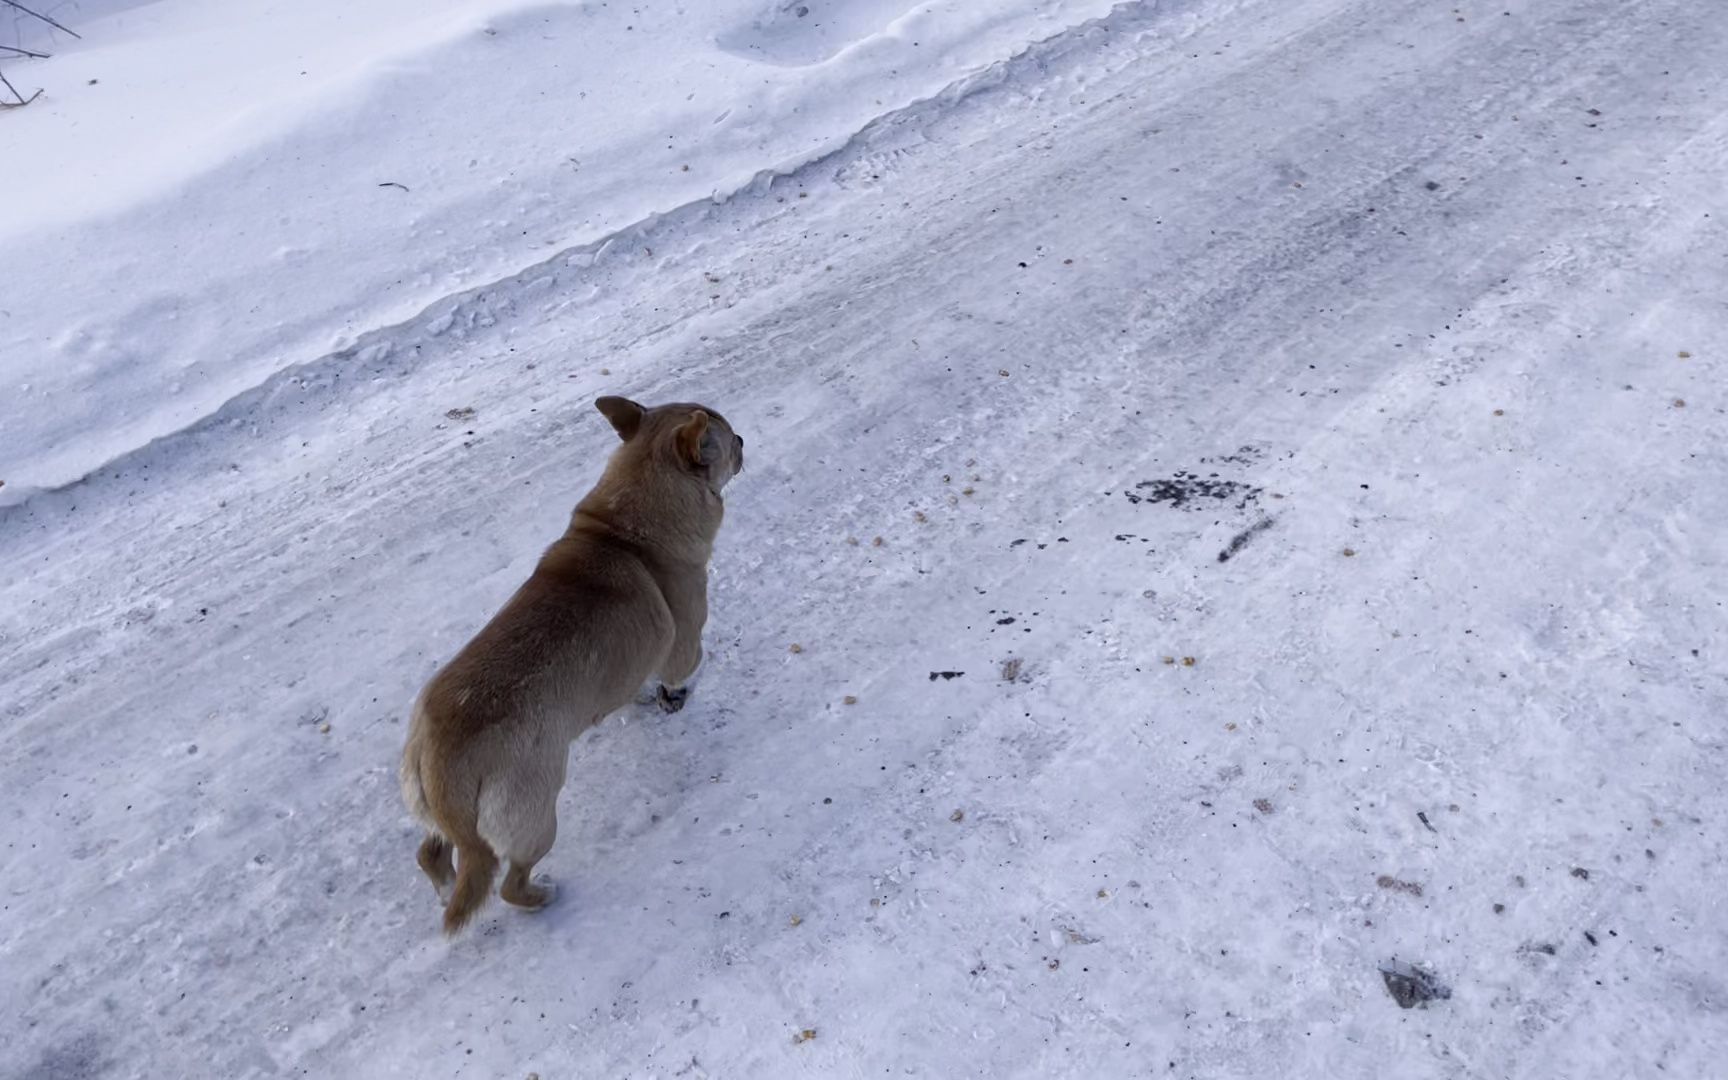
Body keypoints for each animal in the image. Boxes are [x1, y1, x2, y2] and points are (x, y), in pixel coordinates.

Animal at [400, 392, 746, 933]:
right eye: (730, 441)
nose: (745, 440)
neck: (625, 532)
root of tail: (438, 761)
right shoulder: (685, 640)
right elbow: (685, 670)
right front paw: (681, 695)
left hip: (437, 820)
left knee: (431, 854)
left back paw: (442, 887)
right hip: (536, 817)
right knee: (509, 883)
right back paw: (542, 895)